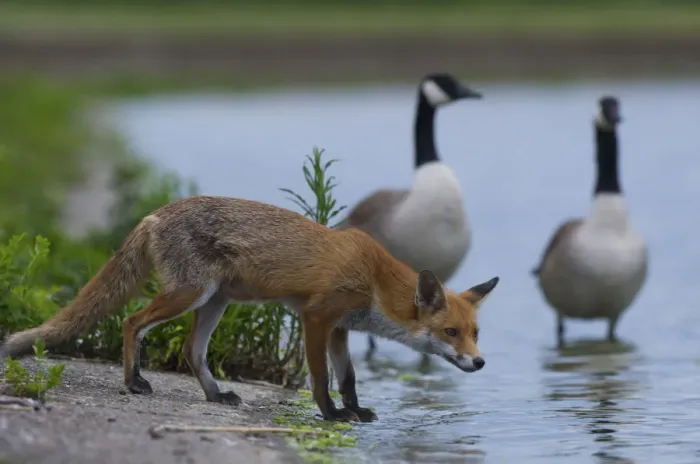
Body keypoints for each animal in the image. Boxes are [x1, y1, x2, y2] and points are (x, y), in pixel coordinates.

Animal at [0, 196, 499, 422]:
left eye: (476, 333)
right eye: (452, 332)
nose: (480, 363)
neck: (374, 278)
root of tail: (156, 212)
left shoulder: (341, 328)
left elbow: (350, 378)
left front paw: (355, 411)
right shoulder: (316, 317)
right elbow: (322, 379)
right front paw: (332, 414)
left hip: (215, 302)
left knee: (192, 351)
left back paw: (215, 395)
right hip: (190, 295)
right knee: (131, 321)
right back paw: (132, 382)